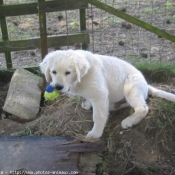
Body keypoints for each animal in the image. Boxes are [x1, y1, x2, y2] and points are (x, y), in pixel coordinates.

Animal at [40, 50, 175, 139]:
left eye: (68, 72)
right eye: (53, 72)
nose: (58, 87)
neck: (82, 77)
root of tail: (146, 85)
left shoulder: (99, 93)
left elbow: (98, 116)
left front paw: (95, 134)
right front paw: (86, 104)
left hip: (131, 85)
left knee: (143, 108)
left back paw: (129, 120)